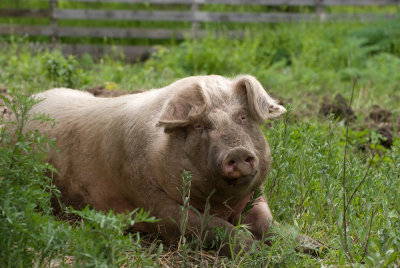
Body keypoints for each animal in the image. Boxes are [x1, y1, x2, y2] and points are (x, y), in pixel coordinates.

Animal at [25, 75, 294, 255]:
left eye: (243, 116)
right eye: (199, 126)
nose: (237, 152)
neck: (221, 204)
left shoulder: (255, 197)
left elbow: (270, 225)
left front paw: (304, 246)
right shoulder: (152, 202)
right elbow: (214, 227)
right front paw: (258, 252)